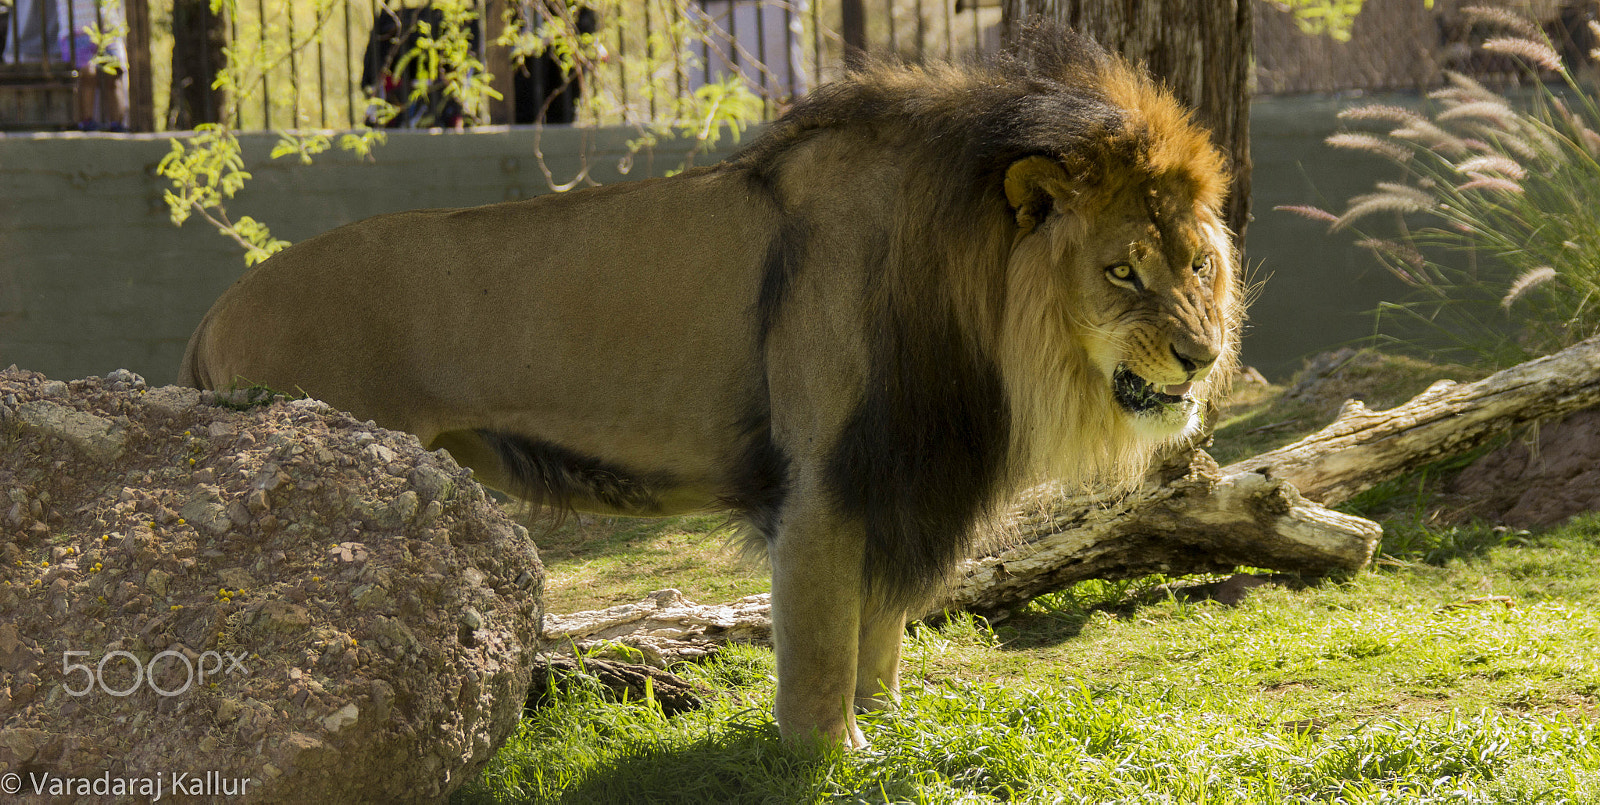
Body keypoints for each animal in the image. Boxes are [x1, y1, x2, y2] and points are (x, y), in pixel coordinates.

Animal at [179, 26, 1241, 748]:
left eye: (1196, 264)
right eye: (1122, 272)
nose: (1199, 356)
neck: (973, 306)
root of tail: (212, 309)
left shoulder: (898, 471)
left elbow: (879, 629)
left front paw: (886, 718)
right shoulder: (821, 480)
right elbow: (820, 638)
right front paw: (832, 752)